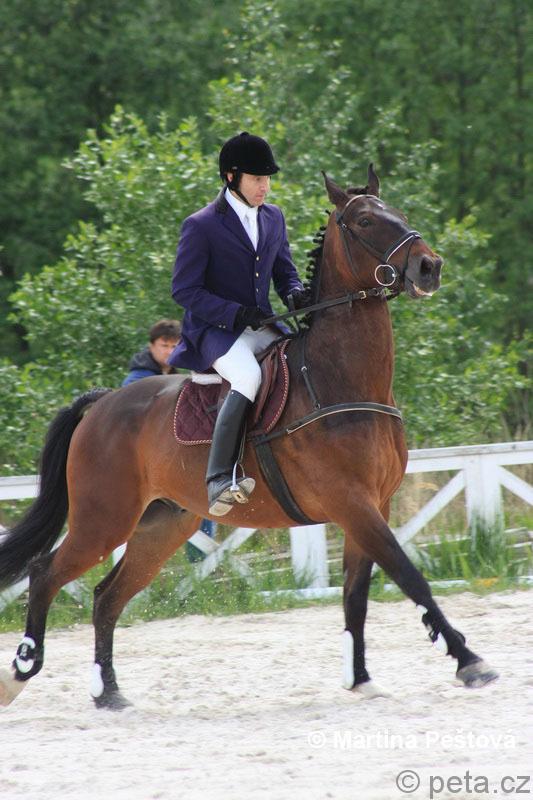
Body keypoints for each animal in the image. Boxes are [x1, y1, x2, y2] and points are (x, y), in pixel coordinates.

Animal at [0, 165, 498, 710]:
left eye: (401, 214)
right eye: (366, 221)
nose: (430, 267)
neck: (341, 380)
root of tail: (105, 402)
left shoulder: (373, 506)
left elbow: (356, 595)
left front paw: (361, 677)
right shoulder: (352, 503)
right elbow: (411, 578)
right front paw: (469, 661)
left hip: (161, 526)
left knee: (106, 596)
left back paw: (109, 693)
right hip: (103, 520)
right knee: (46, 574)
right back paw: (21, 670)